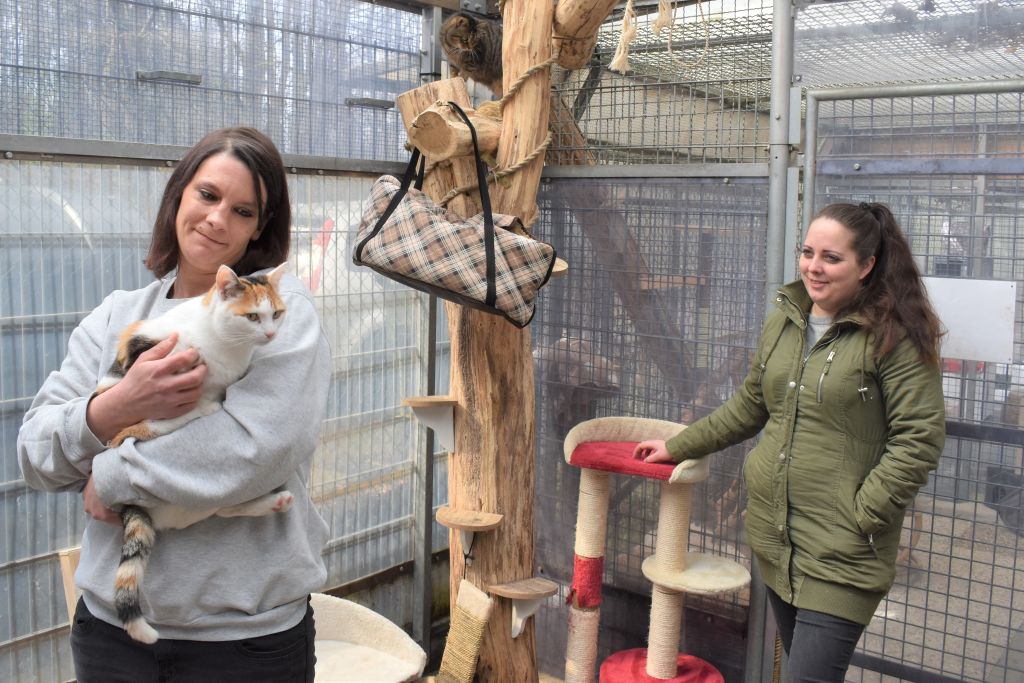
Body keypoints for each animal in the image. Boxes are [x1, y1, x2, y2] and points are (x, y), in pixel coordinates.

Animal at [96, 264, 290, 647]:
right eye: (252, 317)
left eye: (276, 313)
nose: (271, 334)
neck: (225, 347)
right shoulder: (147, 350)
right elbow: (157, 416)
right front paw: (203, 404)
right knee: (142, 430)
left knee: (224, 506)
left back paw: (274, 502)